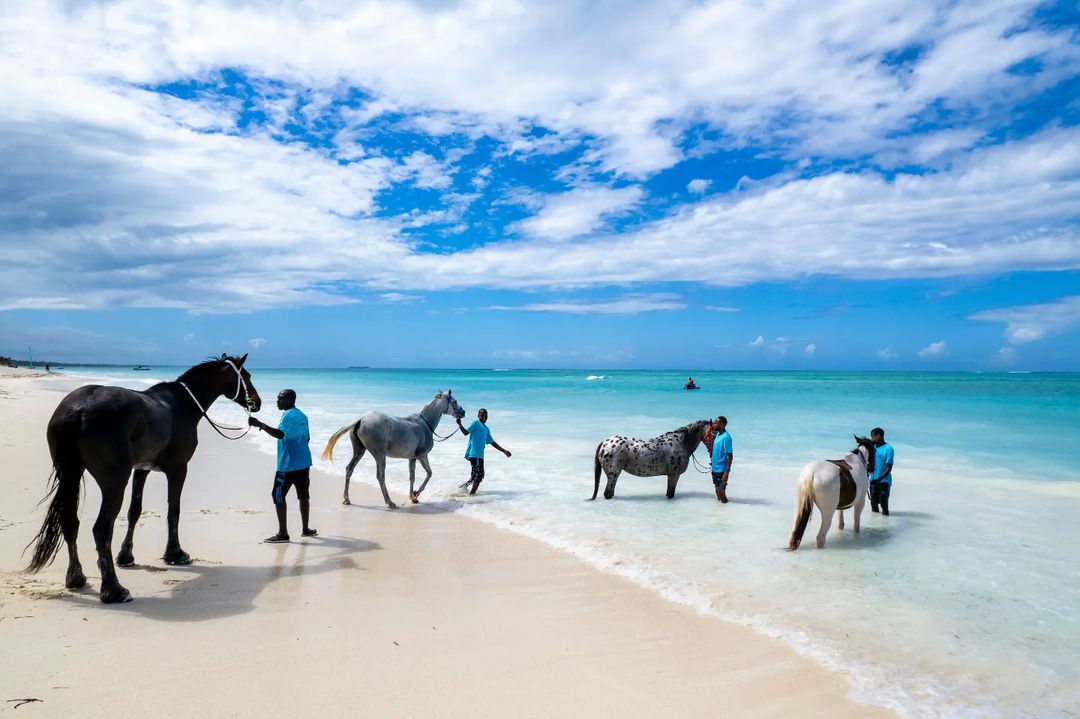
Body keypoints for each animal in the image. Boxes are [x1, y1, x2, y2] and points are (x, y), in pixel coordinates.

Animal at [25, 354, 261, 603]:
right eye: (246, 376)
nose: (257, 402)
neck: (182, 405)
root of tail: (79, 409)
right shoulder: (178, 469)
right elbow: (173, 511)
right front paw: (175, 553)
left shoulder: (141, 470)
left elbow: (134, 512)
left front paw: (126, 556)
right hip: (114, 483)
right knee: (101, 529)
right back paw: (114, 590)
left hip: (70, 475)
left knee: (70, 523)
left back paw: (76, 578)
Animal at [321, 390, 465, 508]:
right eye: (455, 401)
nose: (463, 412)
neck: (425, 425)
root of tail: (361, 419)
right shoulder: (422, 456)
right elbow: (429, 474)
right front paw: (416, 494)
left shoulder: (412, 458)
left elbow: (412, 477)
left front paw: (412, 497)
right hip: (380, 455)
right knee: (380, 476)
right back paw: (390, 503)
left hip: (359, 451)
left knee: (349, 469)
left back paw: (347, 499)